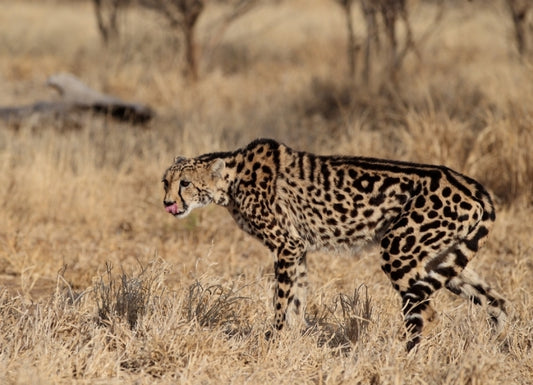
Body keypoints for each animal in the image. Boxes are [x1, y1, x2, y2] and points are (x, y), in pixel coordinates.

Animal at [163, 138, 508, 348]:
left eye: (185, 183)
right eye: (165, 182)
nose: (167, 203)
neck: (231, 179)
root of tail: (471, 184)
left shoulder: (286, 245)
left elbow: (280, 301)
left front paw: (271, 341)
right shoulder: (297, 248)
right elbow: (297, 299)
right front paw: (296, 340)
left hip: (398, 250)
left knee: (427, 311)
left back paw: (406, 359)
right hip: (441, 257)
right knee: (496, 301)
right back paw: (500, 346)